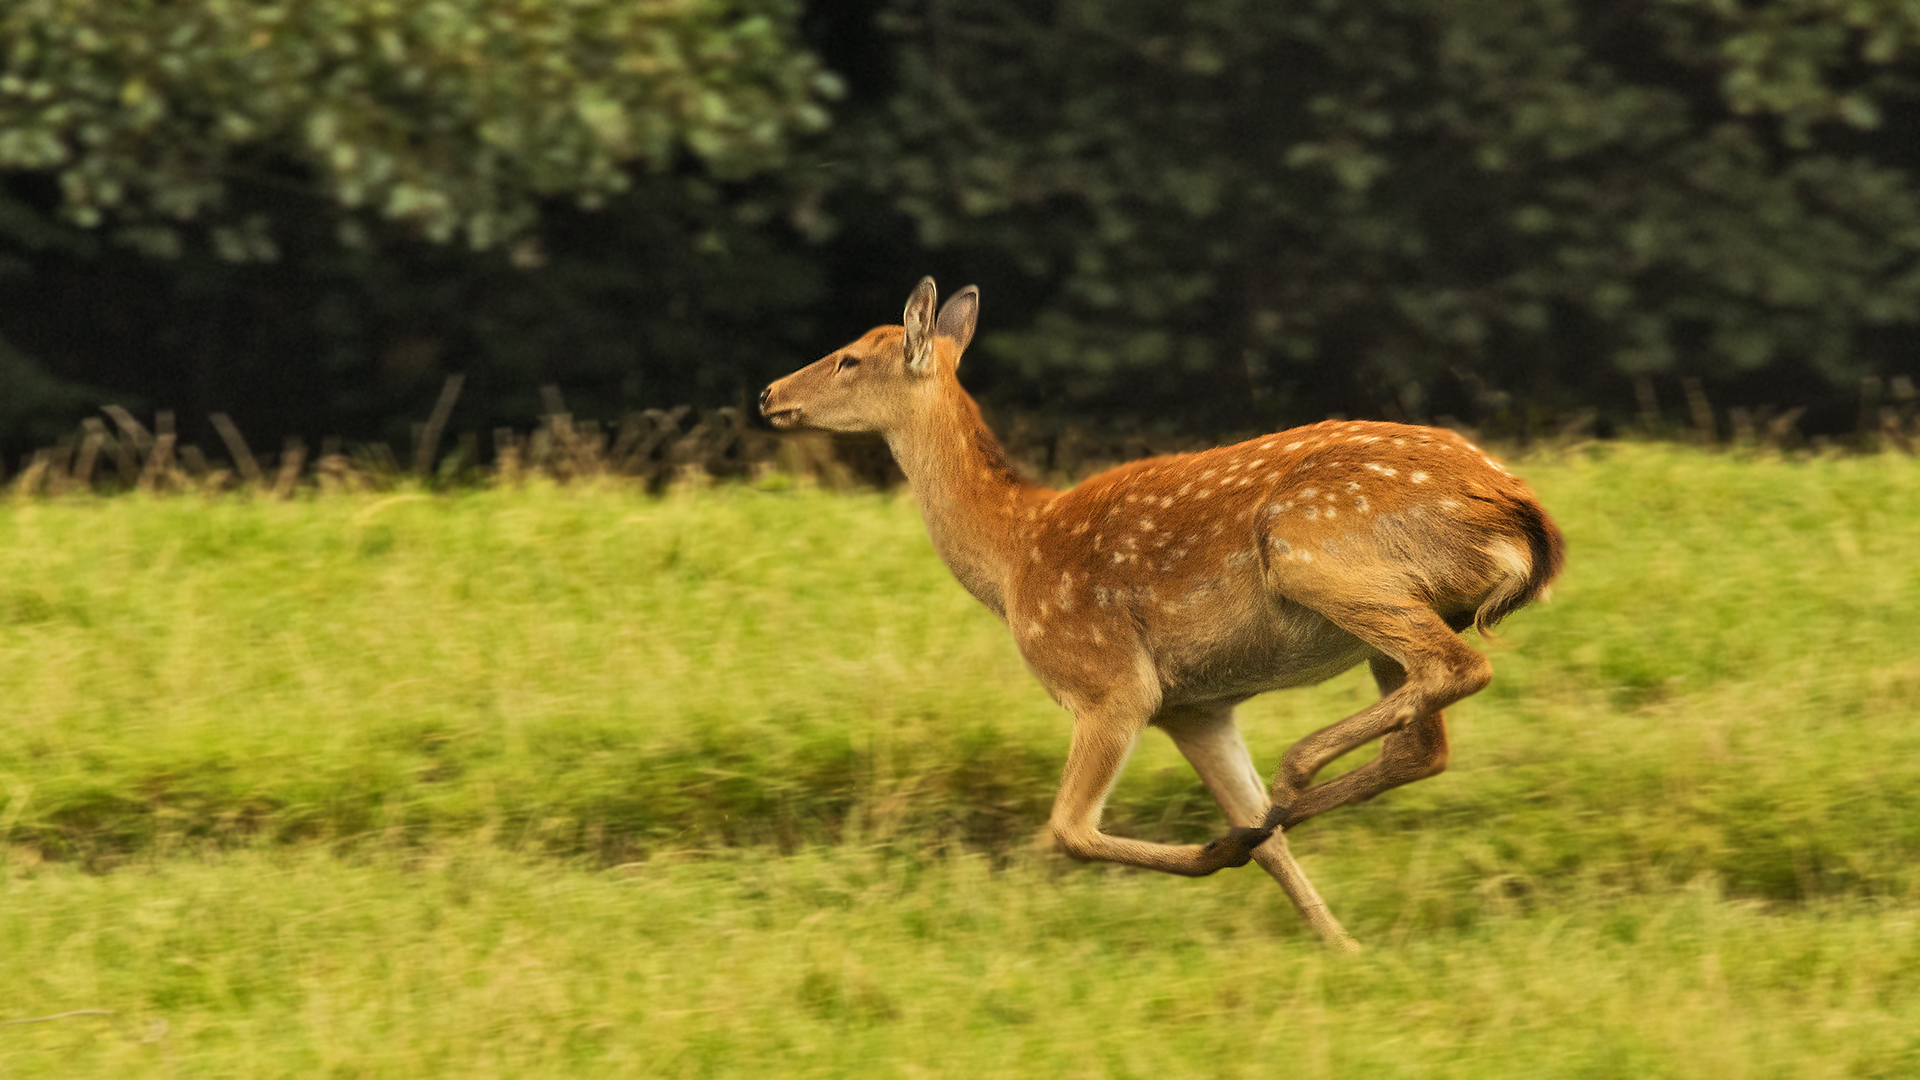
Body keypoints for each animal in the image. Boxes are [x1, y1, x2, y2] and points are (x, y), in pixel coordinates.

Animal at [756, 276, 1566, 941]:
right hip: (1382, 621)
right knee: (1422, 744)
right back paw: (1278, 817)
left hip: (1321, 556)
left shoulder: (1110, 682)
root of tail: (1522, 518)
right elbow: (1267, 846)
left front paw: (1219, 852)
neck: (1014, 557)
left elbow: (1070, 830)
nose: (768, 394)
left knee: (1455, 668)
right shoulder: (1193, 706)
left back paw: (1294, 771)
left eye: (850, 358)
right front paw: (1338, 944)